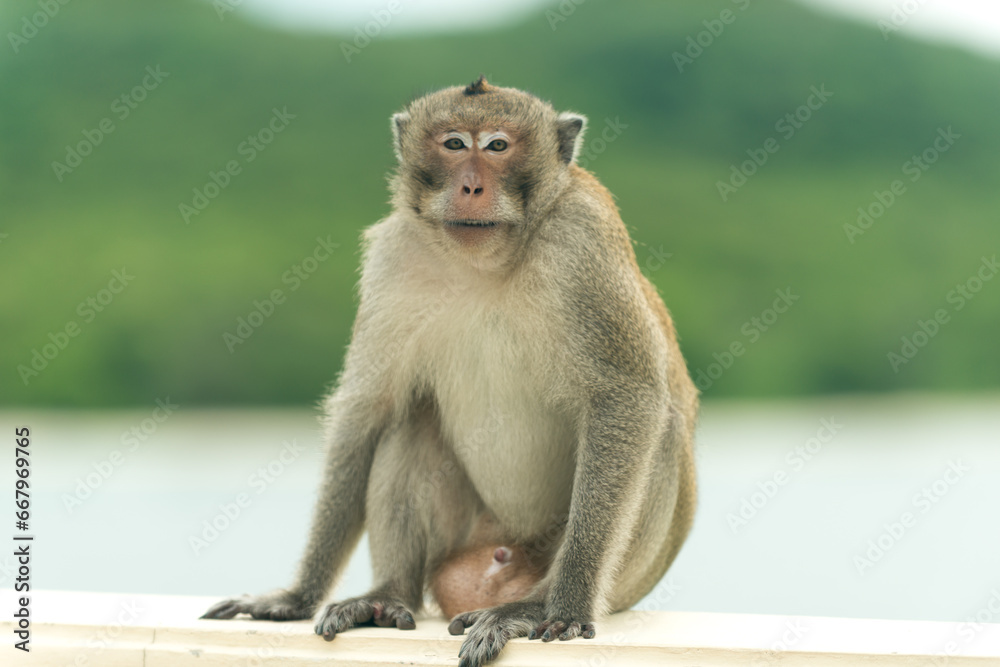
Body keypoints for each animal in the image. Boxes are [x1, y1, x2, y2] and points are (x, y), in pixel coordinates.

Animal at [202, 75, 699, 667]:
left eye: (498, 146)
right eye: (456, 144)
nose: (471, 187)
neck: (486, 263)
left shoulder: (583, 240)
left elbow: (626, 398)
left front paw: (562, 606)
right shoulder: (394, 255)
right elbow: (365, 412)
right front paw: (296, 597)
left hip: (623, 573)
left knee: (658, 426)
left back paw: (526, 604)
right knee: (409, 419)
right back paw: (387, 595)